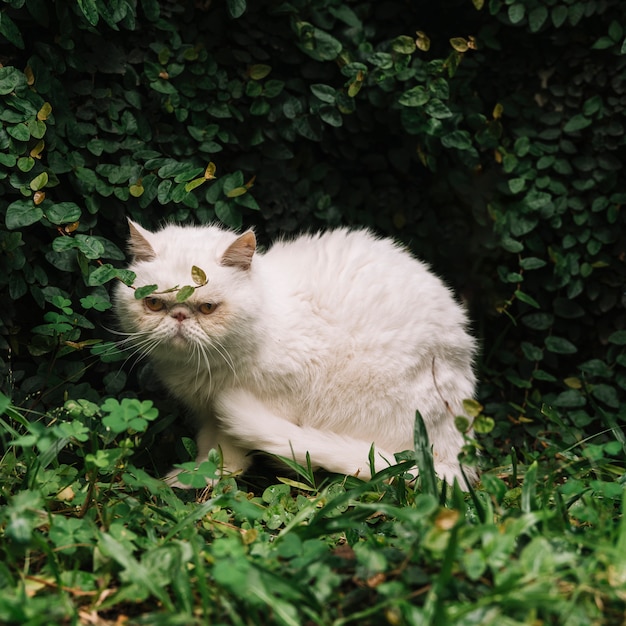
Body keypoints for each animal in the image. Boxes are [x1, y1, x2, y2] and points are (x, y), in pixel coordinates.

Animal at [114, 219, 476, 488]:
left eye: (207, 307)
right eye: (154, 303)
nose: (178, 316)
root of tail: (453, 451)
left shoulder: (274, 398)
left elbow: (228, 448)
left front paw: (211, 476)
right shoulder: (204, 411)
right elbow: (207, 444)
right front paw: (197, 471)